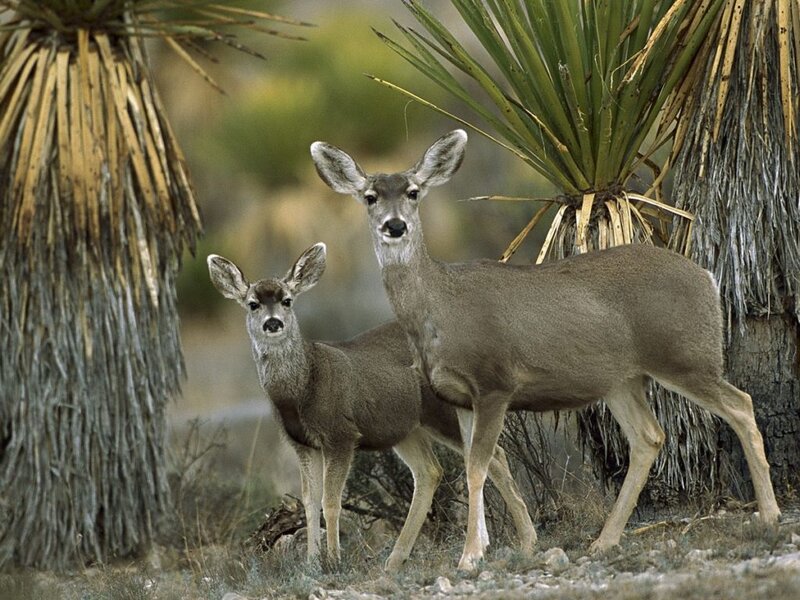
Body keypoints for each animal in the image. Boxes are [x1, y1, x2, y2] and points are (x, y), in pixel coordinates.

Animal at [207, 242, 536, 571]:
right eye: (252, 304)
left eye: (287, 300)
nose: (273, 323)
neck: (302, 388)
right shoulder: (301, 444)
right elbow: (309, 502)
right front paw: (312, 562)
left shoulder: (341, 434)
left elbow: (331, 501)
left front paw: (334, 560)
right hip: (405, 428)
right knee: (431, 470)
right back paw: (397, 558)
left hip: (443, 412)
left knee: (493, 455)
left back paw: (524, 540)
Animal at [310, 130, 782, 571]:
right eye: (370, 196)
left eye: (412, 191)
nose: (394, 226)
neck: (440, 309)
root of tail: (708, 277)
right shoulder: (458, 396)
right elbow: (484, 465)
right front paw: (493, 546)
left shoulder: (495, 382)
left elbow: (478, 466)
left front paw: (469, 556)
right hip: (622, 379)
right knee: (649, 437)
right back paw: (604, 540)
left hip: (685, 355)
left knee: (740, 405)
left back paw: (770, 515)